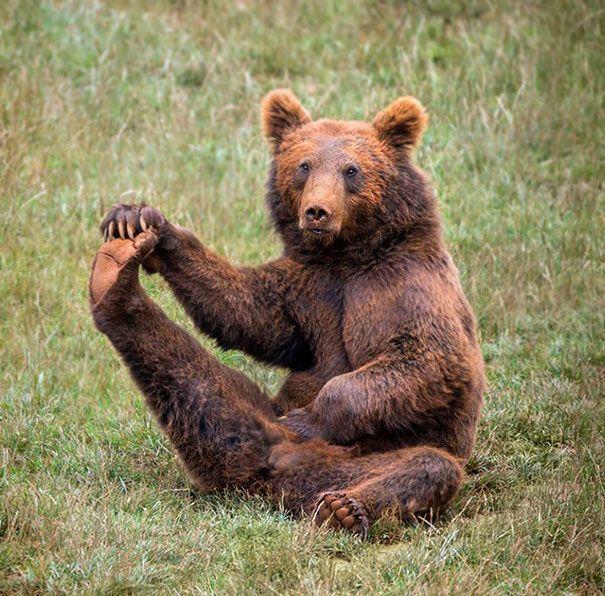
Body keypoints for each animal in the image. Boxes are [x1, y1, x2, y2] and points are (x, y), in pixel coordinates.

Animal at [91, 89, 486, 540]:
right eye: (304, 165)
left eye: (351, 170)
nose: (317, 211)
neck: (346, 256)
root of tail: (273, 482)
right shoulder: (307, 288)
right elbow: (248, 312)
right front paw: (139, 218)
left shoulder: (401, 286)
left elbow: (427, 359)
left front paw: (307, 418)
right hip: (252, 422)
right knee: (202, 389)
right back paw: (114, 276)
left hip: (361, 458)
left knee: (427, 466)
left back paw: (343, 509)